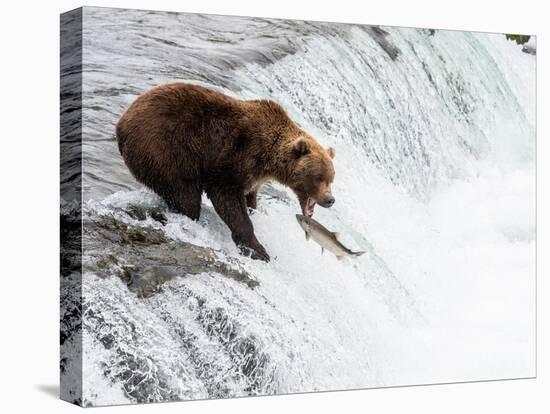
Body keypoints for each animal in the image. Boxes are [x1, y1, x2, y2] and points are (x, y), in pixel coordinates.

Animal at [116, 82, 336, 260]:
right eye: (318, 177)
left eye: (331, 178)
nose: (330, 200)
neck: (269, 158)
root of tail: (122, 122)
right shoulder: (235, 157)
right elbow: (227, 199)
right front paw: (258, 250)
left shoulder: (253, 176)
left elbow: (249, 197)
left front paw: (253, 214)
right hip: (165, 148)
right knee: (185, 195)